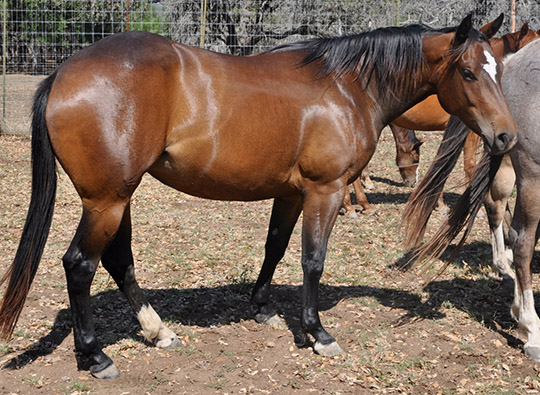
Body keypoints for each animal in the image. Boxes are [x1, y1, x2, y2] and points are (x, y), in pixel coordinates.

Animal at [0, 16, 516, 380]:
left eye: (499, 71)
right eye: (468, 72)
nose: (507, 137)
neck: (347, 87)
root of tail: (62, 73)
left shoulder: (291, 193)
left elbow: (275, 246)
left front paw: (263, 306)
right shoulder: (325, 191)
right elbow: (312, 260)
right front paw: (316, 332)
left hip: (116, 198)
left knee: (118, 261)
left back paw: (157, 331)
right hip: (105, 200)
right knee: (80, 265)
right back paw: (95, 355)